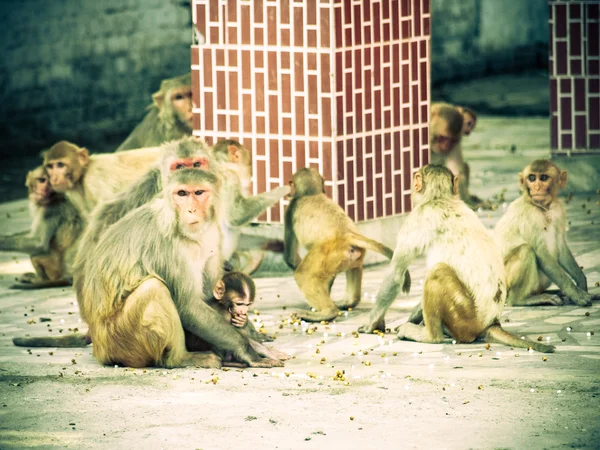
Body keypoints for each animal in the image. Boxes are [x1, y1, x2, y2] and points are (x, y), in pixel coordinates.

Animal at [70, 169, 284, 370]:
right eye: (181, 193)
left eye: (199, 192)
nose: (191, 209)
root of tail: (99, 349)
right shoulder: (168, 246)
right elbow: (188, 305)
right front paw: (248, 352)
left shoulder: (213, 232)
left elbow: (212, 294)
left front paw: (252, 338)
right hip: (119, 342)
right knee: (154, 288)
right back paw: (180, 358)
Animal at [284, 167, 408, 322]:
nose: (289, 192)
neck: (311, 193)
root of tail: (347, 235)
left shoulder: (290, 209)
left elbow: (290, 257)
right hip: (351, 255)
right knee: (355, 267)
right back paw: (349, 302)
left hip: (326, 253)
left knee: (303, 274)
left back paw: (328, 312)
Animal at [358, 163, 556, 354]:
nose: (412, 191)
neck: (439, 198)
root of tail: (491, 323)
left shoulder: (416, 219)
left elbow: (396, 276)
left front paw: (371, 324)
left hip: (464, 317)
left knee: (438, 271)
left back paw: (430, 336)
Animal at [492, 160, 596, 308]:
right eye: (531, 178)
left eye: (544, 178)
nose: (536, 187)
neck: (542, 208)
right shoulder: (530, 215)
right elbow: (541, 253)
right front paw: (576, 294)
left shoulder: (558, 210)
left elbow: (561, 247)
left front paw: (581, 284)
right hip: (505, 284)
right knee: (526, 250)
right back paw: (521, 299)